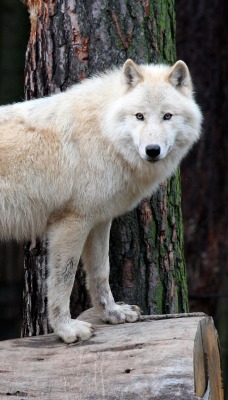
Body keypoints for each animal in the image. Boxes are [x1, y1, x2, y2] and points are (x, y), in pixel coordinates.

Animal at [0, 59, 201, 344]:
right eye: (139, 116)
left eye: (167, 116)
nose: (152, 151)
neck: (104, 132)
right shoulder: (72, 222)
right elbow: (64, 279)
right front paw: (66, 329)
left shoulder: (99, 221)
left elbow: (100, 272)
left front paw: (112, 313)